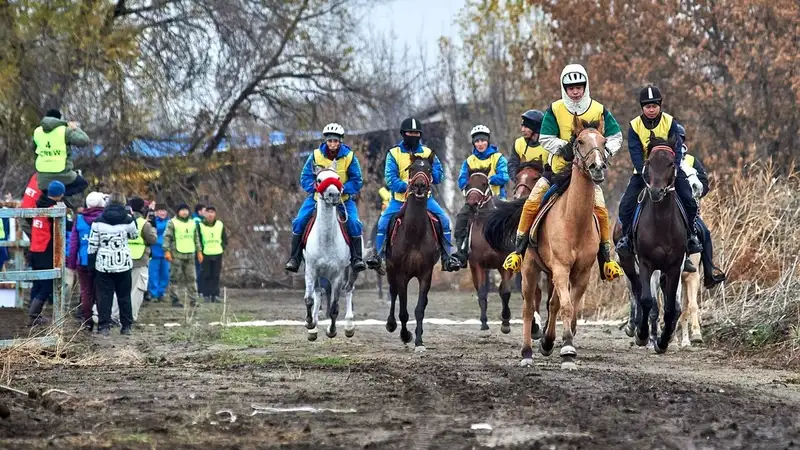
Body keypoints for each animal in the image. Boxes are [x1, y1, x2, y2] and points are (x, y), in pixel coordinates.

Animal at [304, 169, 360, 342]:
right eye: (319, 179)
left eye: (338, 178)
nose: (334, 195)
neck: (326, 239)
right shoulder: (311, 271)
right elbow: (309, 299)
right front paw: (310, 323)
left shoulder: (337, 276)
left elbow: (334, 307)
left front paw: (332, 330)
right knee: (317, 293)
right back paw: (313, 326)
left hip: (352, 270)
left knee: (349, 289)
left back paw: (349, 326)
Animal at [384, 153, 440, 354]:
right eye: (412, 168)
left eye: (429, 169)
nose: (420, 186)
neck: (415, 233)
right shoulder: (401, 273)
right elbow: (403, 311)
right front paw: (405, 335)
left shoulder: (426, 273)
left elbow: (419, 309)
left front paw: (419, 341)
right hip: (391, 270)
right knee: (393, 293)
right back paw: (391, 325)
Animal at [484, 116, 608, 370]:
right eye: (580, 142)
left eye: (604, 141)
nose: (597, 167)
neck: (574, 221)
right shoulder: (560, 267)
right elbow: (566, 306)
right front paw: (568, 351)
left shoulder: (581, 272)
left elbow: (570, 308)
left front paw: (560, 344)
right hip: (530, 269)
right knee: (528, 307)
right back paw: (527, 352)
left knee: (552, 303)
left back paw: (547, 342)